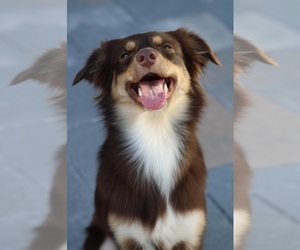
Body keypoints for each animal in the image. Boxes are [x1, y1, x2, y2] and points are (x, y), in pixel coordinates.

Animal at [74, 27, 221, 250]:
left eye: (167, 47)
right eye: (124, 56)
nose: (146, 57)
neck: (155, 133)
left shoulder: (190, 232)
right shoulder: (126, 235)